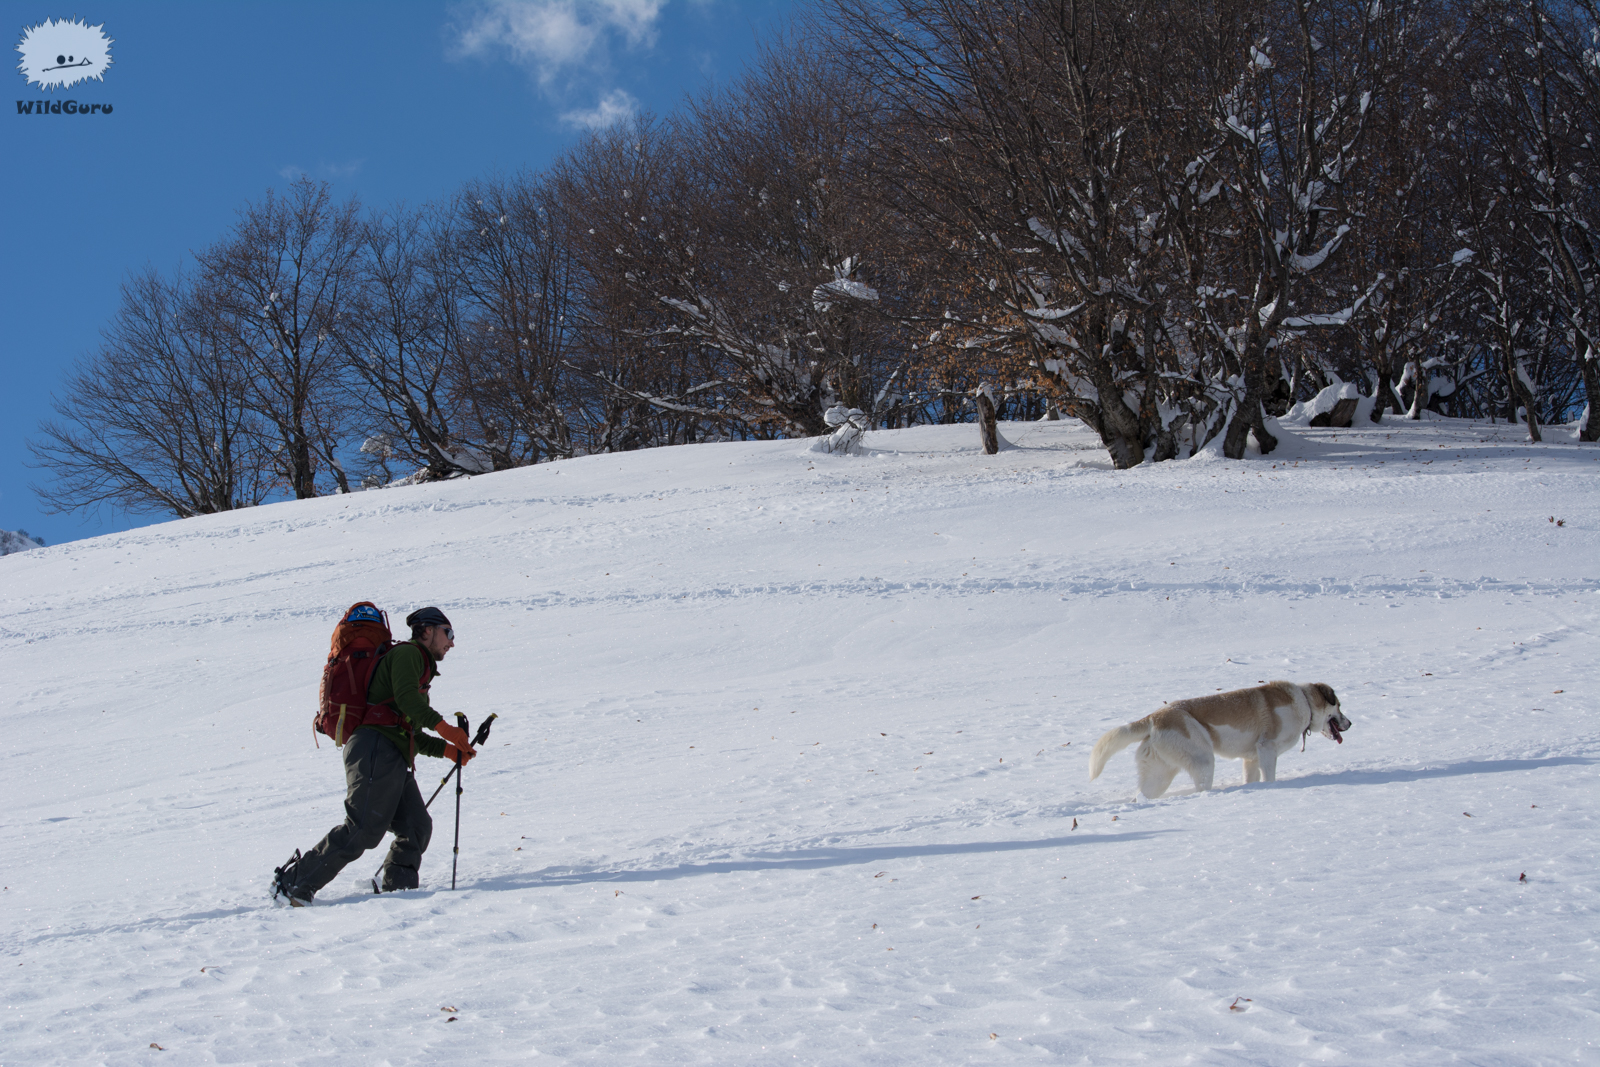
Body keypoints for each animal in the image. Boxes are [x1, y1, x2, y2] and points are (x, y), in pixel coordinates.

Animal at [1089, 681, 1349, 798]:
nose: (1350, 723)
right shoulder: (1267, 749)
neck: (1304, 701)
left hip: (1159, 774)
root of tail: (1154, 717)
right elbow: (1269, 778)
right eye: (1338, 705)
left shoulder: (1251, 759)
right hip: (1203, 760)